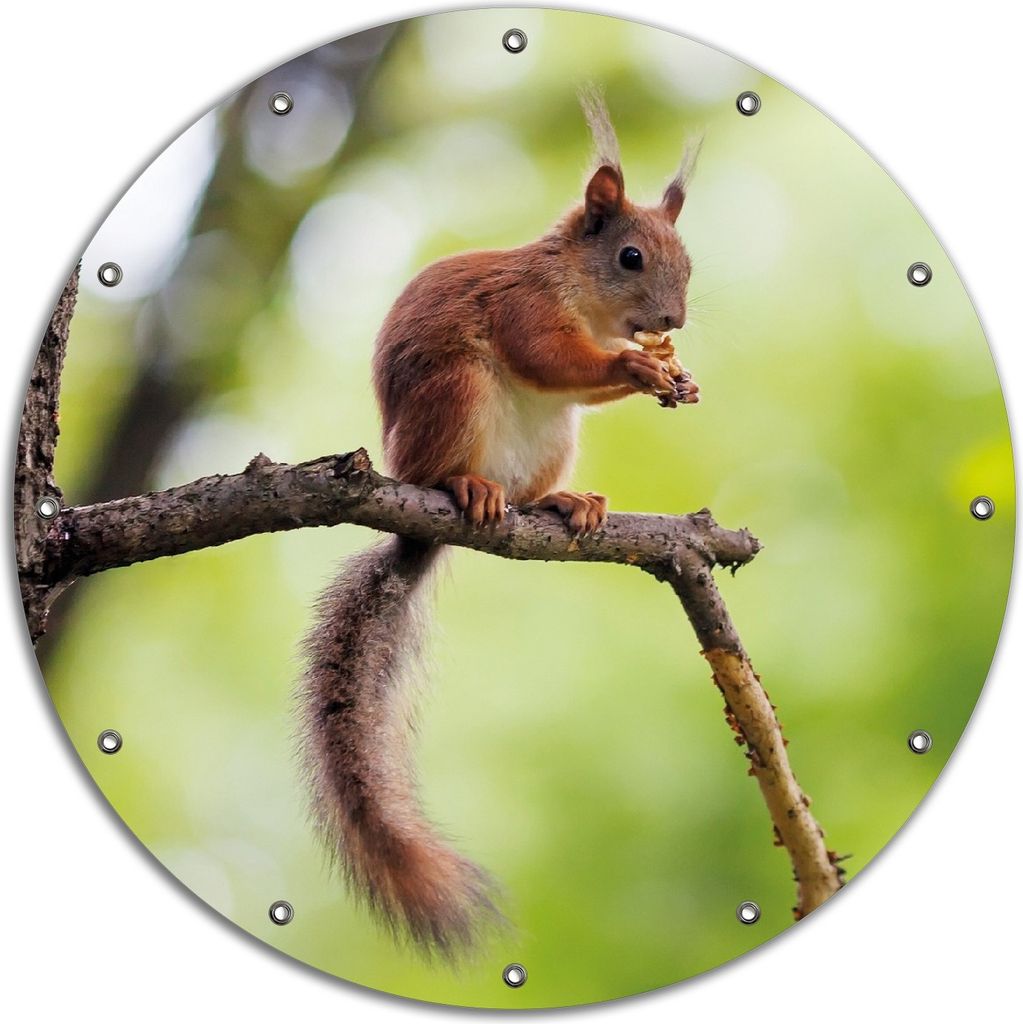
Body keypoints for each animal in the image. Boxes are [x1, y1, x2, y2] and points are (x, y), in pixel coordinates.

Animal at [299, 92, 700, 956]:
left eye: (687, 261)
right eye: (629, 257)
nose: (672, 318)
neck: (578, 291)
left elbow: (581, 382)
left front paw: (672, 374)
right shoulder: (522, 308)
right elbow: (549, 356)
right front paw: (634, 365)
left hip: (553, 441)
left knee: (534, 486)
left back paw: (561, 504)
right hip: (454, 394)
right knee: (448, 465)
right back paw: (467, 487)